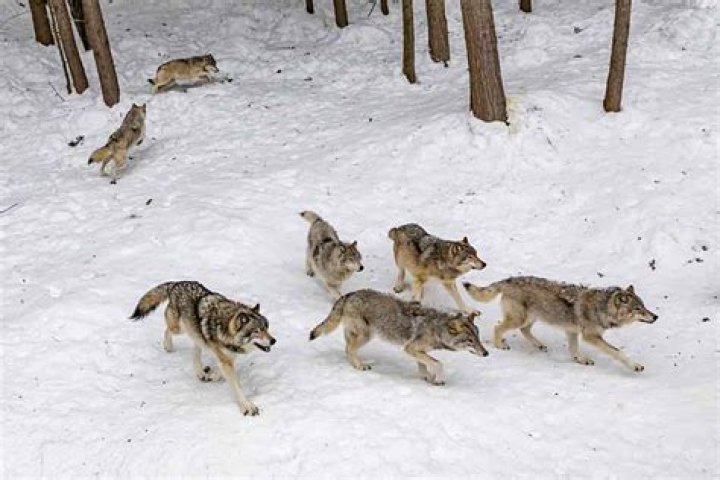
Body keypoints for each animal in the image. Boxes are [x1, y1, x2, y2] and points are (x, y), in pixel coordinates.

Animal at [130, 281, 276, 415]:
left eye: (266, 328)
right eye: (257, 331)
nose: (273, 341)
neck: (225, 329)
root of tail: (176, 283)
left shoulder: (228, 357)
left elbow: (220, 372)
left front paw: (212, 376)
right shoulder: (225, 360)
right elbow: (237, 386)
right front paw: (248, 407)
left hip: (195, 333)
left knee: (196, 350)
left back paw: (201, 372)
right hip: (179, 328)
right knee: (168, 330)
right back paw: (168, 347)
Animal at [309, 289, 488, 385]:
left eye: (478, 338)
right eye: (470, 341)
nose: (486, 353)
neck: (437, 328)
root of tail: (349, 294)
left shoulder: (416, 350)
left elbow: (424, 364)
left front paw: (427, 377)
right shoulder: (410, 348)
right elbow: (438, 363)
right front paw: (438, 379)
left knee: (347, 349)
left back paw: (356, 364)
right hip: (366, 336)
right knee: (348, 349)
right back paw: (360, 366)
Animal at [463, 276, 658, 372]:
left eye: (644, 306)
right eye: (638, 309)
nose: (656, 317)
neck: (602, 307)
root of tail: (508, 280)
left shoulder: (572, 331)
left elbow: (574, 350)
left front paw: (581, 360)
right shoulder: (590, 337)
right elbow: (617, 352)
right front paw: (635, 366)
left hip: (531, 318)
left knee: (524, 330)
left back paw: (539, 345)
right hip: (520, 318)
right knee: (498, 327)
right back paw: (500, 345)